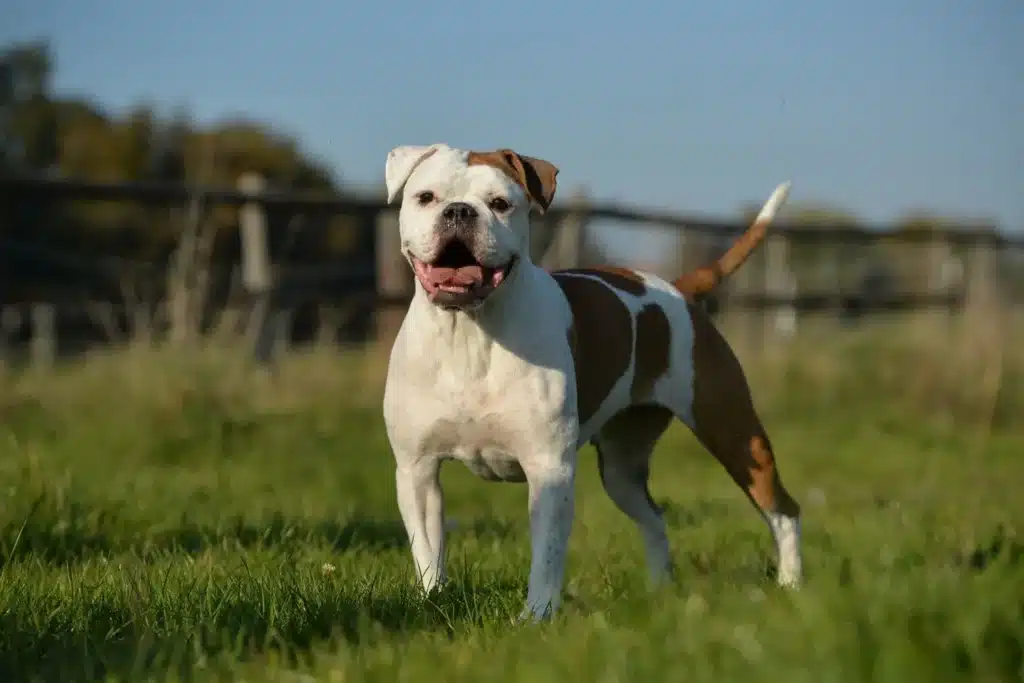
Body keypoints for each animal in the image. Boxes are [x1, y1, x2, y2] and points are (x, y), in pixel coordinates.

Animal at [382, 143, 798, 618]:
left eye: (500, 203)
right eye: (426, 197)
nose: (458, 211)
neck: (469, 332)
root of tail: (679, 288)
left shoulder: (549, 469)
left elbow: (546, 556)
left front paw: (535, 617)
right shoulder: (417, 470)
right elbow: (427, 550)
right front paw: (432, 602)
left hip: (735, 434)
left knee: (783, 511)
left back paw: (791, 585)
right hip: (622, 468)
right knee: (654, 517)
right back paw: (660, 589)